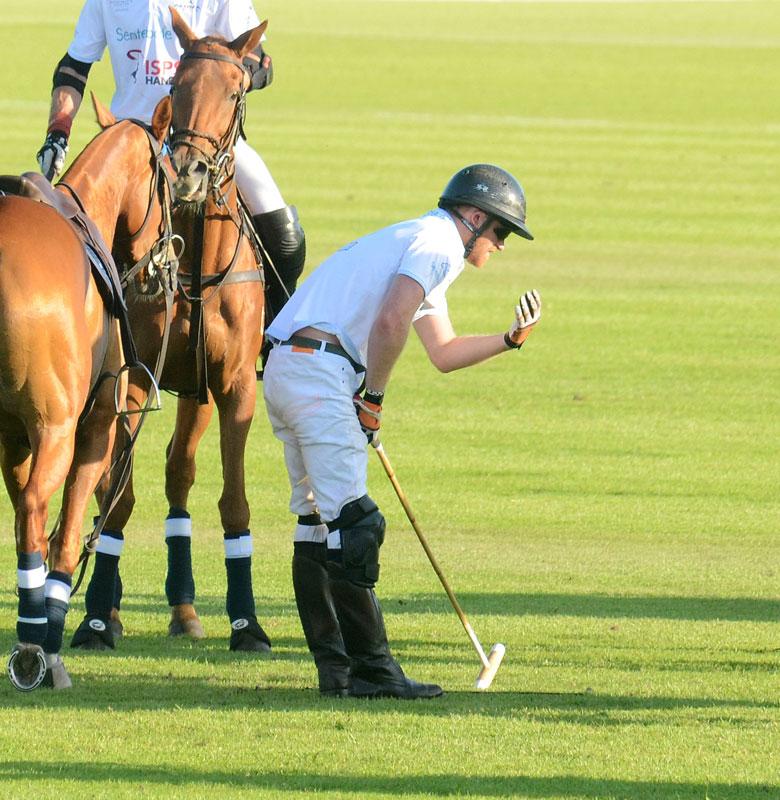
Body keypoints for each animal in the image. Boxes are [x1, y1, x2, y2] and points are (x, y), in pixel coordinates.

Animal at [0, 95, 172, 688]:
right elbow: (67, 530)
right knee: (38, 510)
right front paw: (45, 644)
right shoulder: (92, 428)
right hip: (59, 429)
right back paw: (35, 649)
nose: (163, 264)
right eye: (169, 183)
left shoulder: (13, 437)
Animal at [71, 9, 272, 652]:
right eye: (178, 85)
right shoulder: (133, 380)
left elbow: (234, 502)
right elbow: (116, 495)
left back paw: (185, 608)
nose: (186, 172)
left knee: (179, 472)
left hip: (195, 390)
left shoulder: (232, 385)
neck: (191, 266)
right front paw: (95, 617)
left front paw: (247, 623)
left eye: (234, 90)